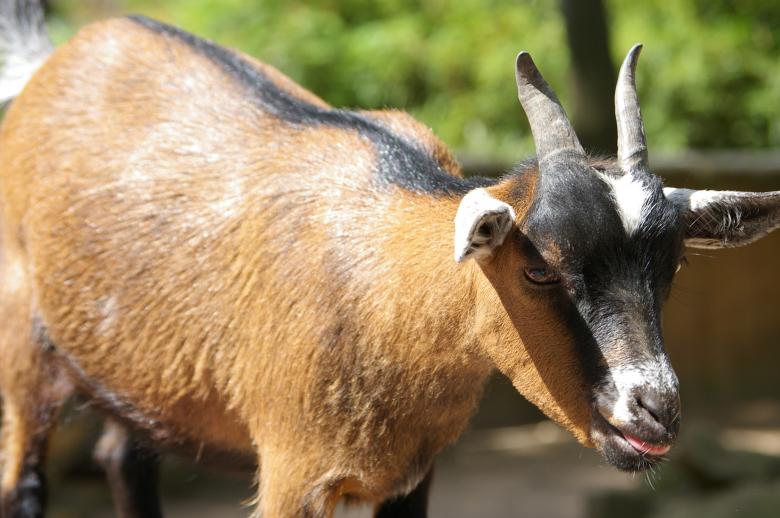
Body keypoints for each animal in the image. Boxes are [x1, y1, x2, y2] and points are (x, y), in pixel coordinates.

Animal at [1, 2, 779, 517]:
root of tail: (48, 64)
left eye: (669, 268)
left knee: (121, 458)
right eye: (538, 268)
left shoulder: (412, 474)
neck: (386, 292)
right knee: (24, 484)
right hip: (22, 349)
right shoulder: (293, 473)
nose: (656, 411)